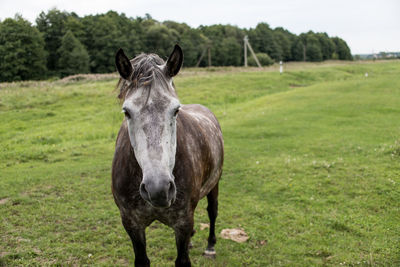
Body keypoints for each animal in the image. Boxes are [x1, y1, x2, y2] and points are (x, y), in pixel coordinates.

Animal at [111, 45, 225, 266]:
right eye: (127, 112)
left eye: (175, 110)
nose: (158, 189)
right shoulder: (132, 224)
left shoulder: (183, 222)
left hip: (214, 184)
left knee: (212, 211)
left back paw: (210, 246)